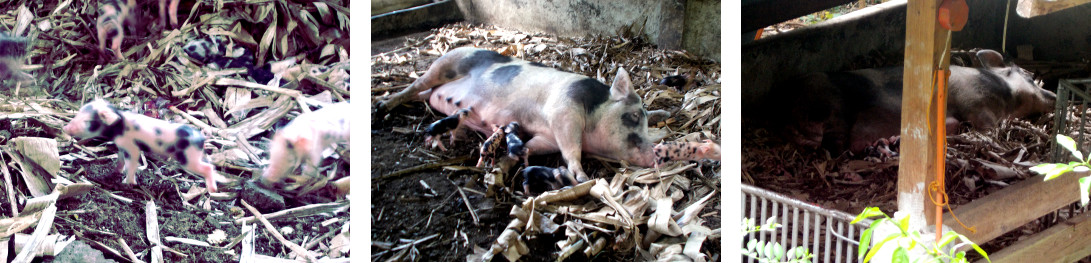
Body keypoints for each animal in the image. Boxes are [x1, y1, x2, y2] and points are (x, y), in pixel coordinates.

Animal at [384, 47, 672, 182]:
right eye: (634, 117)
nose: (658, 153)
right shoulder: (563, 111)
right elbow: (572, 149)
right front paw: (582, 177)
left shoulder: (547, 138)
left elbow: (529, 147)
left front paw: (503, 165)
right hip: (447, 63)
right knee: (413, 86)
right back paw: (382, 107)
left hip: (436, 87)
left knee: (422, 94)